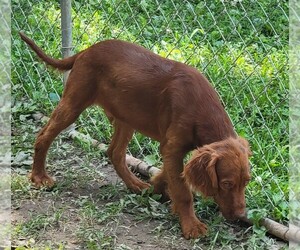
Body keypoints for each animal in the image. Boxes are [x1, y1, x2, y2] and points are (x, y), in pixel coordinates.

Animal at [19, 32, 252, 239]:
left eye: (246, 182)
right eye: (226, 184)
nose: (240, 215)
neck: (202, 109)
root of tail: (86, 51)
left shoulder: (171, 149)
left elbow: (170, 176)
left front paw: (158, 187)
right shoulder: (172, 147)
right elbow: (183, 191)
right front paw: (191, 226)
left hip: (126, 117)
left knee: (114, 152)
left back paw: (136, 185)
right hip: (74, 103)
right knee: (44, 136)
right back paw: (39, 177)